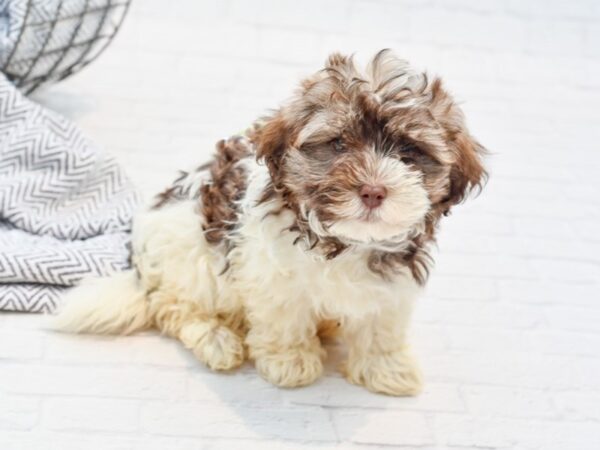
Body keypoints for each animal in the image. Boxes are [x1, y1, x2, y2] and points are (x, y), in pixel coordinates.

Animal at [52, 48, 488, 394]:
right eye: (338, 144)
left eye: (408, 152)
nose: (373, 191)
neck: (344, 241)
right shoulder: (271, 274)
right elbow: (285, 317)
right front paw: (291, 362)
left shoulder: (390, 289)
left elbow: (381, 327)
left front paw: (386, 369)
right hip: (189, 260)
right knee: (175, 306)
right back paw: (217, 339)